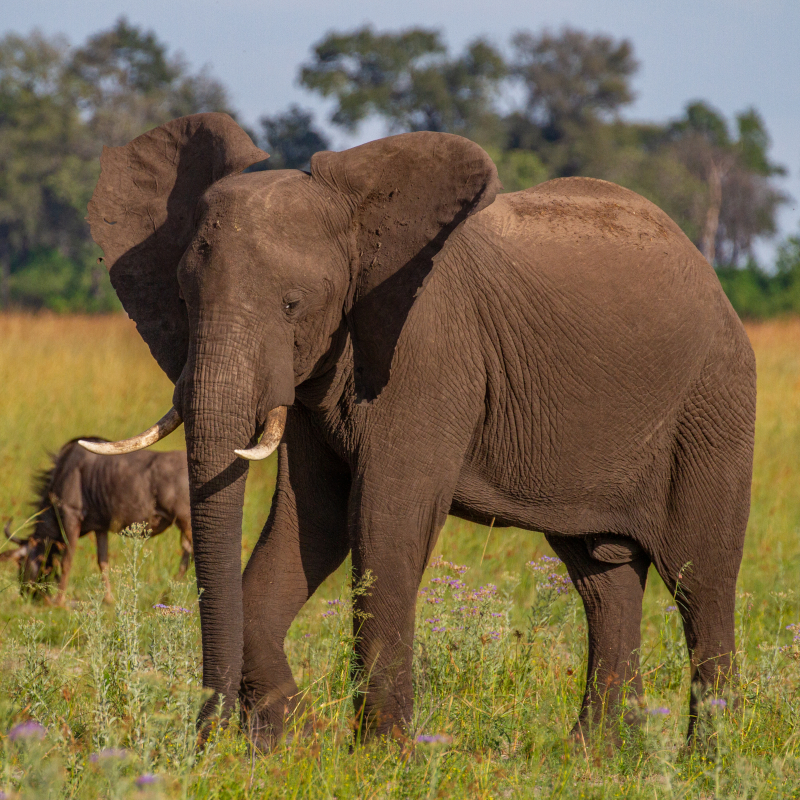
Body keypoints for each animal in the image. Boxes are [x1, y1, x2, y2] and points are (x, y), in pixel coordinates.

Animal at [1, 438, 192, 604]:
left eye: (20, 562)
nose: (25, 594)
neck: (62, 474)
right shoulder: (100, 527)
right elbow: (103, 562)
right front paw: (108, 599)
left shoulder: (71, 517)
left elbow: (67, 561)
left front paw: (59, 600)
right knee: (187, 555)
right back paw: (166, 596)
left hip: (186, 522)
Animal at [78, 112, 756, 747]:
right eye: (183, 302)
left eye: (293, 305)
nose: (206, 740)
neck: (359, 222)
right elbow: (311, 520)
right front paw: (294, 739)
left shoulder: (430, 352)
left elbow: (383, 521)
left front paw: (380, 757)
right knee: (603, 580)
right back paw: (595, 761)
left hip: (712, 404)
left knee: (701, 582)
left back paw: (704, 762)